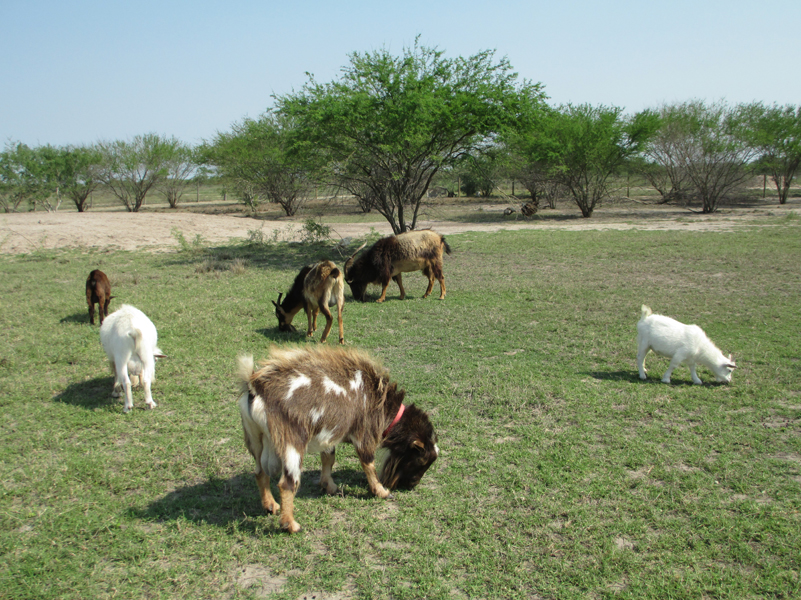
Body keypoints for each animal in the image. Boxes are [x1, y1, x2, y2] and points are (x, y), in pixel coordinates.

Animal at [234, 346, 440, 536]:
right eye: (420, 459)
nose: (412, 485)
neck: (380, 401)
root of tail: (255, 387)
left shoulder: (329, 435)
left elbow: (329, 459)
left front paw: (330, 486)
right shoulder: (363, 434)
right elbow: (368, 463)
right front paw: (381, 492)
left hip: (256, 439)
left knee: (260, 472)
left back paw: (271, 506)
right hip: (292, 442)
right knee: (286, 483)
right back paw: (291, 525)